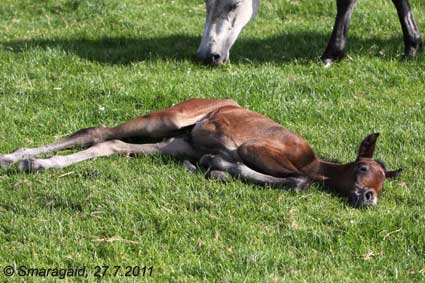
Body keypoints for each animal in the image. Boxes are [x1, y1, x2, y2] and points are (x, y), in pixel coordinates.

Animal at [0, 99, 400, 209]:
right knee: (98, 131)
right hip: (170, 119)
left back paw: (31, 161)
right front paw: (217, 165)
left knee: (107, 144)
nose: (369, 197)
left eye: (383, 182)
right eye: (362, 167)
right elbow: (299, 180)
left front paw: (213, 167)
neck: (316, 161)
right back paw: (16, 156)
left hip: (176, 141)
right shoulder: (257, 148)